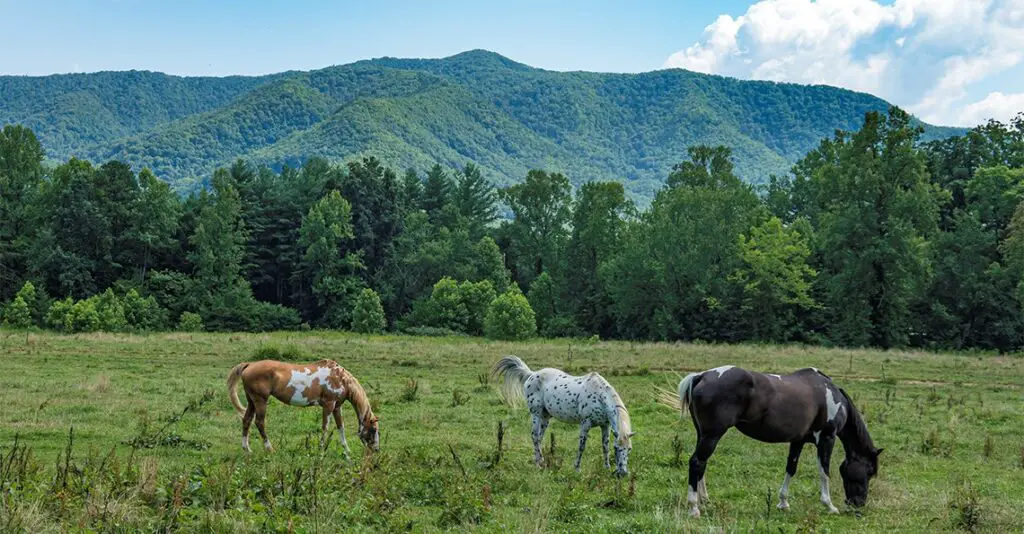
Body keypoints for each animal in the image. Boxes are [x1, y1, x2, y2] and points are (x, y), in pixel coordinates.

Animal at [226, 356, 378, 455]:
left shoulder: (336, 407)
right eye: (374, 430)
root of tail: (249, 364)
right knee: (259, 422)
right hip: (260, 401)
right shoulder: (328, 405)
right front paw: (321, 450)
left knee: (247, 420)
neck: (340, 378)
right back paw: (270, 449)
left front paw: (346, 450)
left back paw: (247, 449)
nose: (376, 449)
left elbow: (341, 427)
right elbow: (325, 427)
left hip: (251, 401)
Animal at [489, 354, 626, 475]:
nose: (623, 473)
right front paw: (577, 469)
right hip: (536, 414)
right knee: (534, 436)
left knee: (539, 438)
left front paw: (607, 468)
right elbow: (581, 446)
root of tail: (532, 374)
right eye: (617, 449)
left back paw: (539, 462)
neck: (599, 395)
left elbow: (605, 446)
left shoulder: (605, 425)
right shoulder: (585, 424)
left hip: (545, 416)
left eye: (628, 449)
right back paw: (539, 464)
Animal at [659, 364, 884, 518]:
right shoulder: (826, 438)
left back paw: (704, 500)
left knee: (702, 464)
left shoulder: (798, 441)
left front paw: (783, 503)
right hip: (712, 435)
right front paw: (829, 505)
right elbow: (824, 471)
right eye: (869, 471)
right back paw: (694, 508)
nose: (858, 503)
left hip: (704, 434)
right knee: (697, 462)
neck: (830, 394)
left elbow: (791, 468)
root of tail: (702, 376)